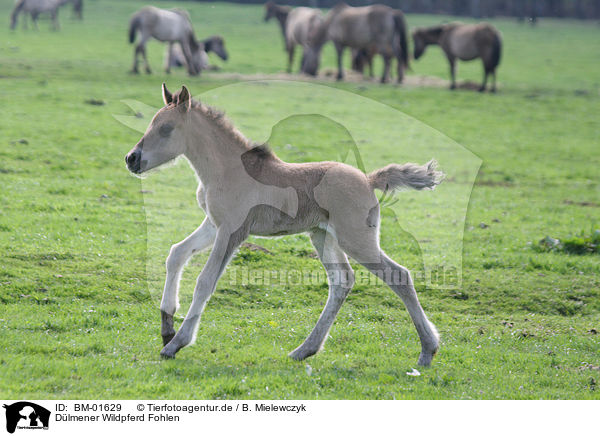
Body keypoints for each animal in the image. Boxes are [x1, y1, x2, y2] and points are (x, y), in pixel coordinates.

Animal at [124, 83, 442, 366]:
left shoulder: (232, 231)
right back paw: (305, 350)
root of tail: (368, 179)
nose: (131, 158)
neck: (226, 170)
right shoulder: (213, 225)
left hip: (356, 240)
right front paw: (167, 326)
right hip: (322, 236)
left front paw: (177, 343)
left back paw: (428, 350)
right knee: (342, 281)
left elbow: (205, 281)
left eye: (166, 128)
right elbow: (176, 253)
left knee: (399, 276)